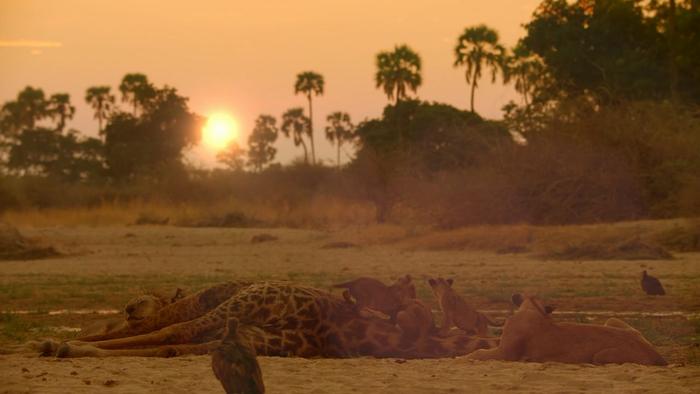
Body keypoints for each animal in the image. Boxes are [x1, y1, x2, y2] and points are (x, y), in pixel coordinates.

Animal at [464, 294, 668, 364]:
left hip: (601, 356)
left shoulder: (506, 353)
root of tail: (658, 355)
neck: (533, 309)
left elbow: (478, 353)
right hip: (613, 320)